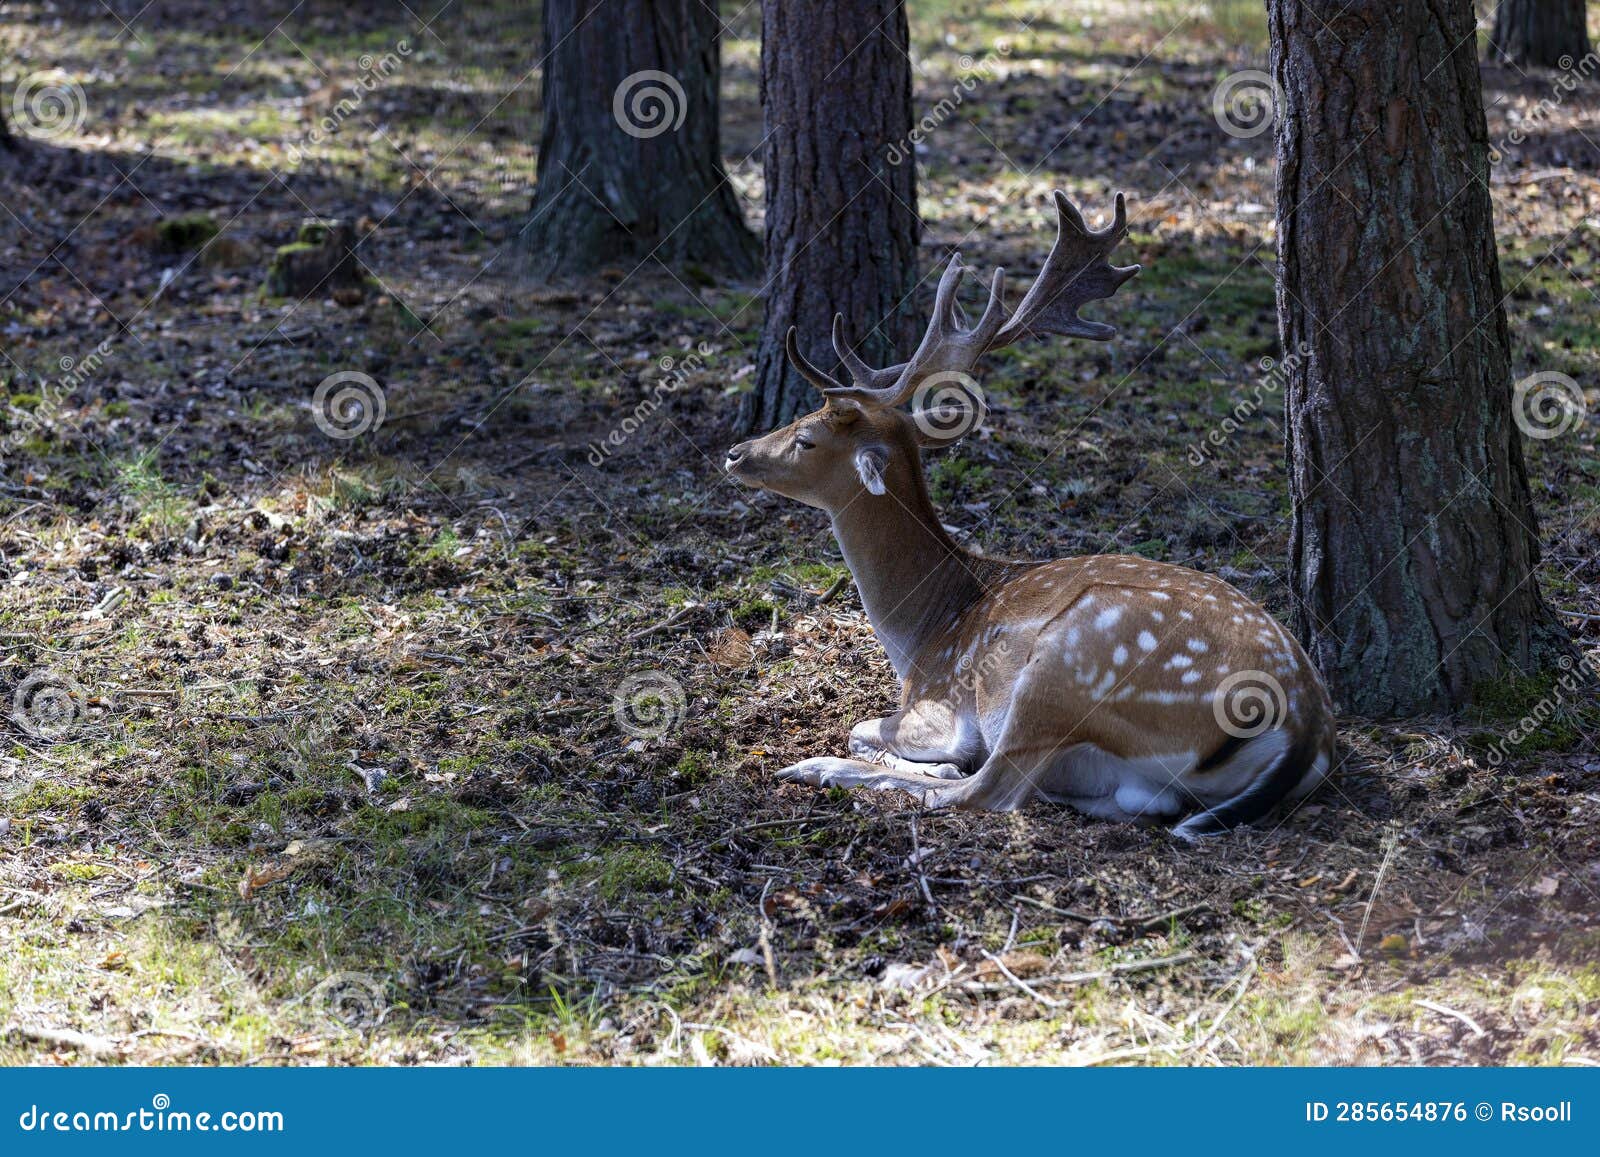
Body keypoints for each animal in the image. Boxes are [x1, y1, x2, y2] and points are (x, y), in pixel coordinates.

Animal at [724, 191, 1335, 839]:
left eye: (807, 437)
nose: (736, 452)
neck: (921, 634)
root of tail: (1304, 725)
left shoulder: (937, 702)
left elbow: (866, 728)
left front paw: (903, 758)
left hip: (1066, 664)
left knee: (987, 789)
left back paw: (817, 768)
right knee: (1138, 803)